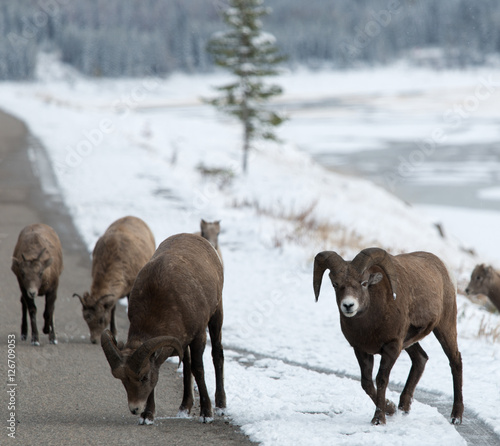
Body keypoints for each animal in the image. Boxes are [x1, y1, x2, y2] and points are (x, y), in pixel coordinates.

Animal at [100, 233, 226, 426]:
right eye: (122, 379)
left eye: (143, 377)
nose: (135, 409)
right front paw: (147, 416)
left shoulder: (198, 337)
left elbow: (198, 369)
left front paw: (206, 413)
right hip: (185, 343)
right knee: (186, 364)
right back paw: (184, 408)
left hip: (216, 315)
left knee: (217, 354)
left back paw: (220, 406)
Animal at [314, 247, 462, 426]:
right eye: (336, 284)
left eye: (364, 283)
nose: (348, 305)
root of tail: (442, 265)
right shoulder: (361, 350)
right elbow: (366, 383)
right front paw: (390, 409)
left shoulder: (391, 348)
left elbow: (381, 380)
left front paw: (379, 419)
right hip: (409, 342)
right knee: (420, 359)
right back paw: (403, 408)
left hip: (444, 327)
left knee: (455, 361)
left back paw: (456, 417)